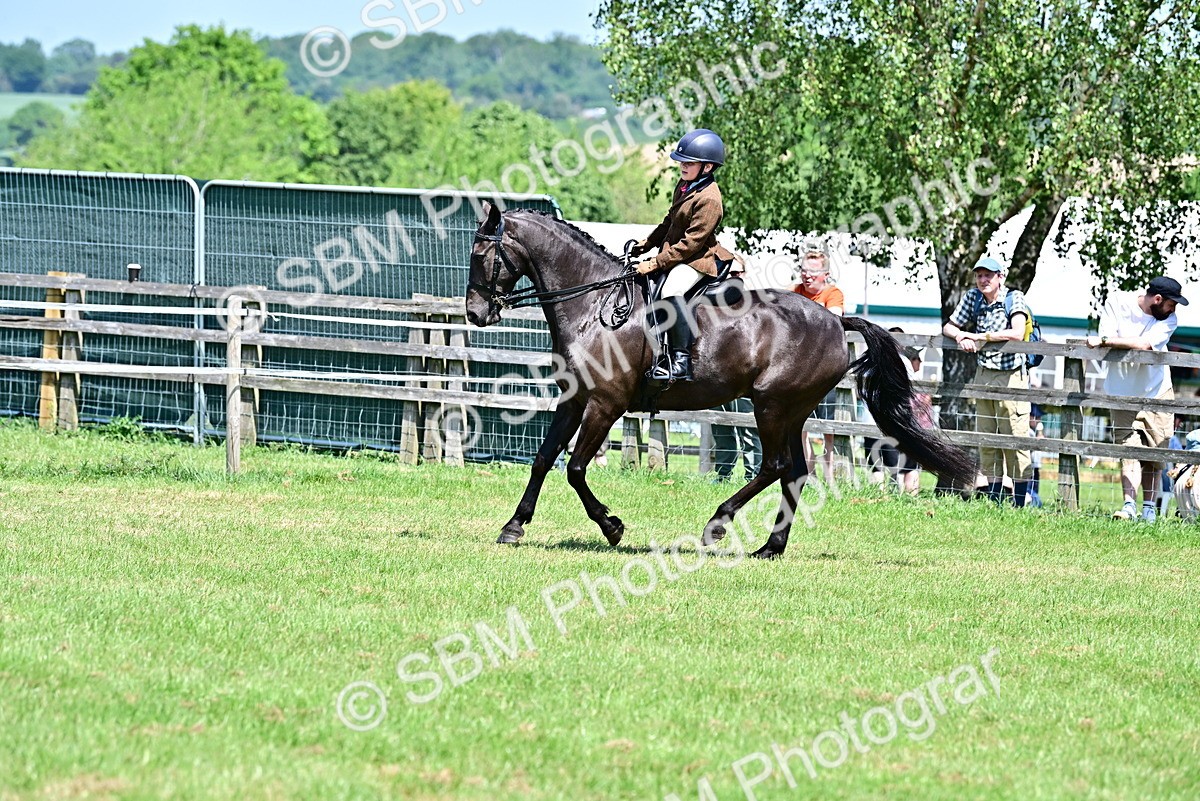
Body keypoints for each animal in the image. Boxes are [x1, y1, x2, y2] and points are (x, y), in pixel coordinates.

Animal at [466, 202, 976, 558]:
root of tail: (836, 321)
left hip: (771, 406)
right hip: (793, 412)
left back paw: (717, 525)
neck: (595, 306)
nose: (475, 314)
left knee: (773, 466)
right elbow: (543, 459)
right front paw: (514, 526)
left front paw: (612, 527)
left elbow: (573, 468)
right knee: (795, 472)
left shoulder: (606, 404)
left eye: (482, 255)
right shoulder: (574, 400)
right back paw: (770, 548)